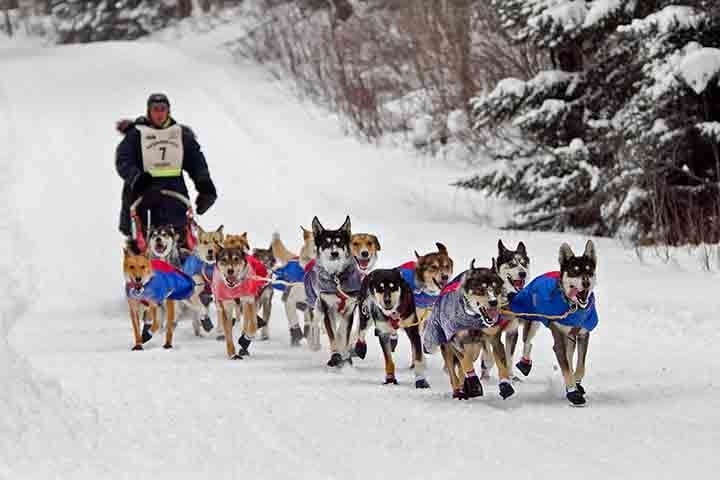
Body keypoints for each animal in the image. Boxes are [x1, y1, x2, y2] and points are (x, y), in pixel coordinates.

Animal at [304, 218, 362, 368]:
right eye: (326, 242)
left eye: (340, 242)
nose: (334, 253)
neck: (336, 276)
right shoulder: (327, 309)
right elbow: (333, 335)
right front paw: (335, 356)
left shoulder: (349, 310)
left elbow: (343, 334)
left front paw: (345, 357)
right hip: (316, 307)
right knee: (315, 324)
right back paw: (315, 345)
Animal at [510, 240, 600, 404]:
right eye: (574, 271)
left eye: (589, 270)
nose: (586, 283)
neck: (574, 307)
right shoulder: (558, 337)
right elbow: (566, 368)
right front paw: (573, 392)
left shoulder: (583, 335)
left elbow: (580, 366)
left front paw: (576, 383)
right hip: (533, 321)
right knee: (527, 341)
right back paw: (525, 363)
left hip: (569, 338)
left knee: (569, 355)